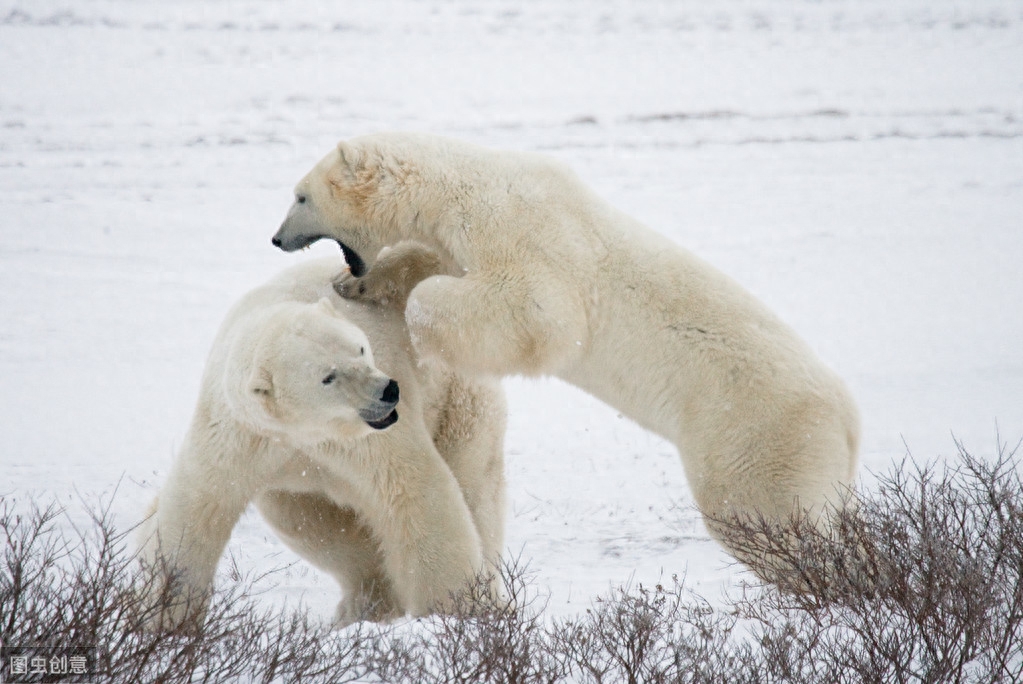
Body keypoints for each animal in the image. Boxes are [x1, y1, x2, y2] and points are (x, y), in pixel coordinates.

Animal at [138, 257, 505, 629]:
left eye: (360, 347)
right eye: (328, 377)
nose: (389, 391)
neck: (301, 431)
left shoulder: (366, 439)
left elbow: (412, 491)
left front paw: (456, 613)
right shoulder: (240, 433)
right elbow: (194, 507)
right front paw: (162, 618)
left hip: (456, 398)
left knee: (476, 490)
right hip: (293, 489)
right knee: (312, 525)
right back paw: (365, 605)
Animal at [274, 131, 863, 576]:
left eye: (301, 196)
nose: (277, 238)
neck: (465, 187)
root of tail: (848, 417)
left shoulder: (528, 236)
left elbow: (534, 312)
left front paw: (417, 323)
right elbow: (432, 262)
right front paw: (355, 285)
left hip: (753, 435)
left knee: (761, 514)